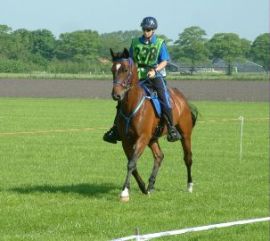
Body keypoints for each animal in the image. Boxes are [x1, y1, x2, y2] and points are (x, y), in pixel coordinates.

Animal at [108, 47, 197, 201]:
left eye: (125, 69)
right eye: (113, 69)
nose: (116, 95)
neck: (132, 105)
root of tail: (182, 99)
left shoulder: (142, 138)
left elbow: (131, 163)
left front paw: (124, 192)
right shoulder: (126, 140)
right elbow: (133, 164)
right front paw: (143, 187)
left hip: (185, 134)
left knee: (188, 158)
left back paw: (189, 185)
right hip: (153, 138)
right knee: (159, 156)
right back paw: (150, 185)